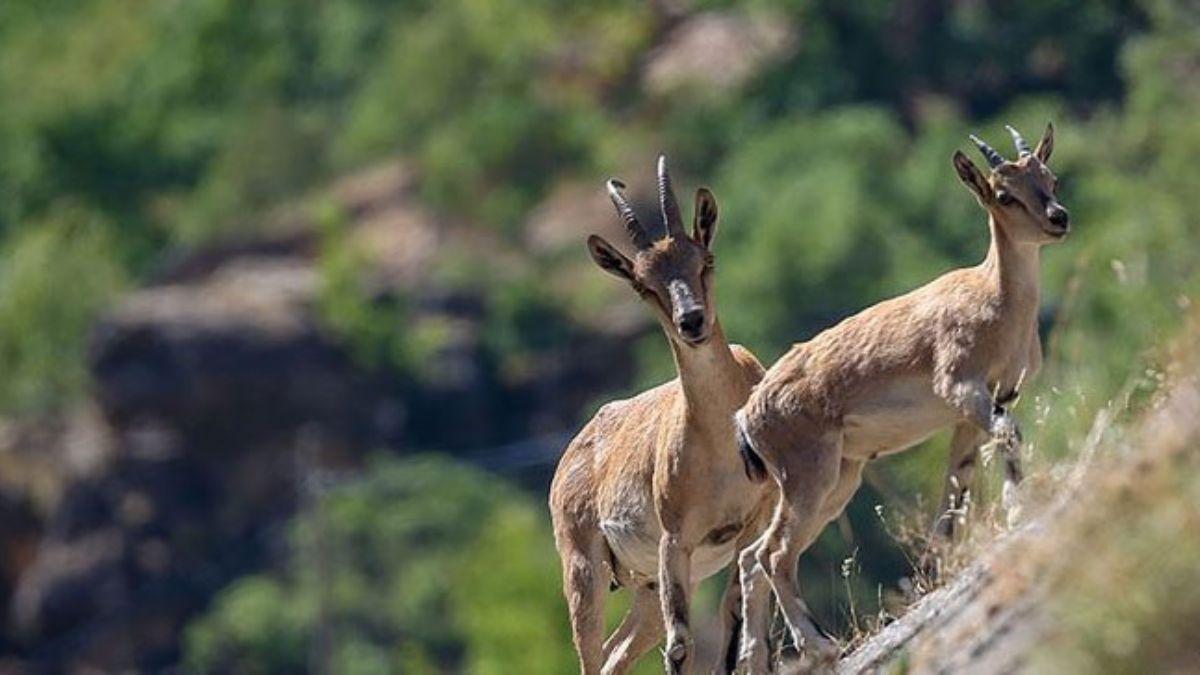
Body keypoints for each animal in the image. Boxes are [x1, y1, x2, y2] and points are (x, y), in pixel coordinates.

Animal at [549, 156, 772, 672]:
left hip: (646, 587)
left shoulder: (752, 520)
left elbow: (734, 611)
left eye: (705, 261)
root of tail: (567, 461)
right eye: (642, 286)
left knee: (616, 654)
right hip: (584, 568)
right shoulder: (676, 540)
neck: (719, 449)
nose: (691, 321)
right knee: (593, 655)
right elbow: (680, 644)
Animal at [734, 123, 1075, 662]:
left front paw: (936, 567)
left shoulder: (981, 406)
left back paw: (756, 660)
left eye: (1051, 178)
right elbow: (1008, 436)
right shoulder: (962, 389)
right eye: (1003, 194)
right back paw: (820, 646)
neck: (996, 302)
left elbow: (958, 482)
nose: (1058, 218)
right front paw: (1019, 509)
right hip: (809, 474)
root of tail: (746, 416)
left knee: (751, 557)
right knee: (773, 553)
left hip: (839, 478)